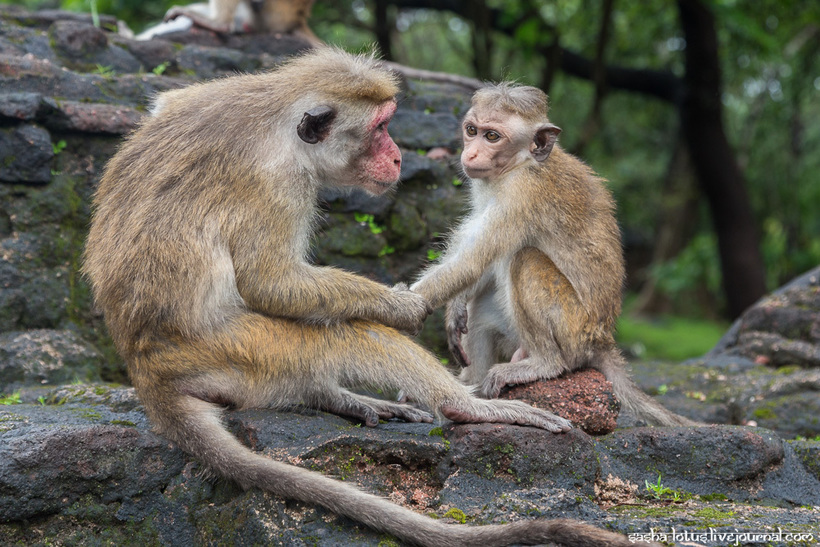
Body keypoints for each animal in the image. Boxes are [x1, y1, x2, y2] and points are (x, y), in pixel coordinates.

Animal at [83, 48, 636, 547]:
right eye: (380, 128)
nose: (397, 157)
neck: (277, 116)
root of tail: (147, 369)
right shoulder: (279, 180)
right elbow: (270, 280)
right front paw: (403, 305)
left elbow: (164, 105)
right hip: (237, 347)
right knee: (352, 335)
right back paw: (464, 407)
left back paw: (337, 397)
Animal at [414, 82, 696, 428]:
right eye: (472, 130)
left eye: (492, 136)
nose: (471, 153)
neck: (521, 164)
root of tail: (603, 340)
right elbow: (480, 261)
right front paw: (454, 308)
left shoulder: (522, 193)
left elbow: (475, 259)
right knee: (483, 308)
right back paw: (470, 392)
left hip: (573, 331)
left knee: (525, 259)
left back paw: (543, 364)